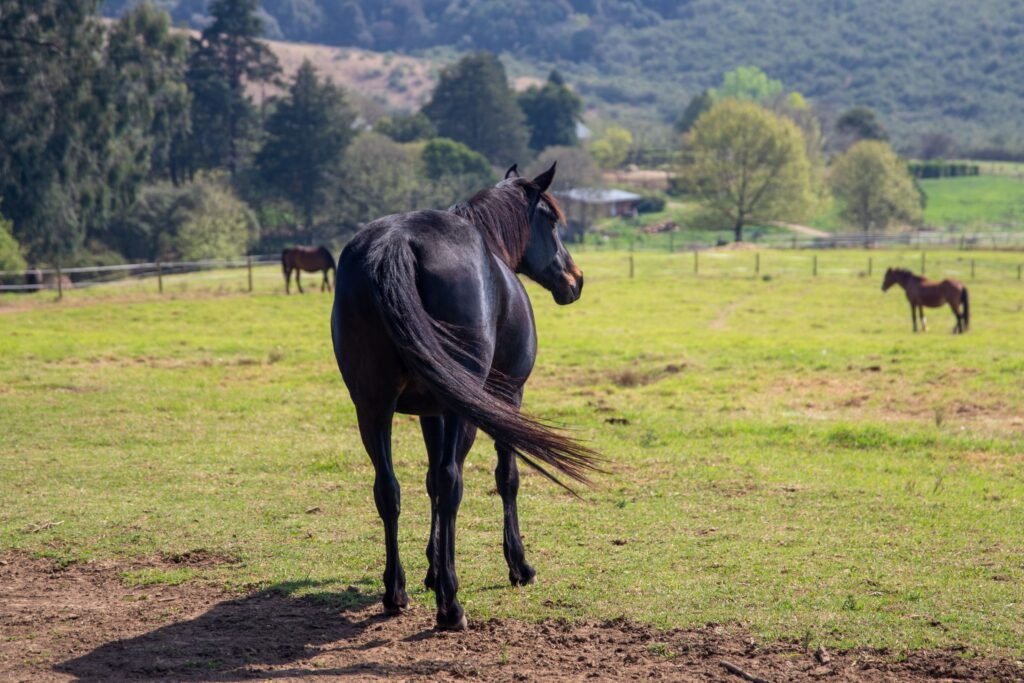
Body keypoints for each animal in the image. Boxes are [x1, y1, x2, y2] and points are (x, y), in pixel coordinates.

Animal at [331, 163, 600, 630]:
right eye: (550, 220)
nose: (575, 279)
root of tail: (396, 244)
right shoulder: (505, 398)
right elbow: (504, 477)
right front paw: (517, 565)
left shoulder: (430, 413)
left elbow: (428, 485)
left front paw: (431, 568)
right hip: (461, 407)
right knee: (450, 482)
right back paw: (450, 605)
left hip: (373, 407)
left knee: (389, 489)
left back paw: (395, 591)